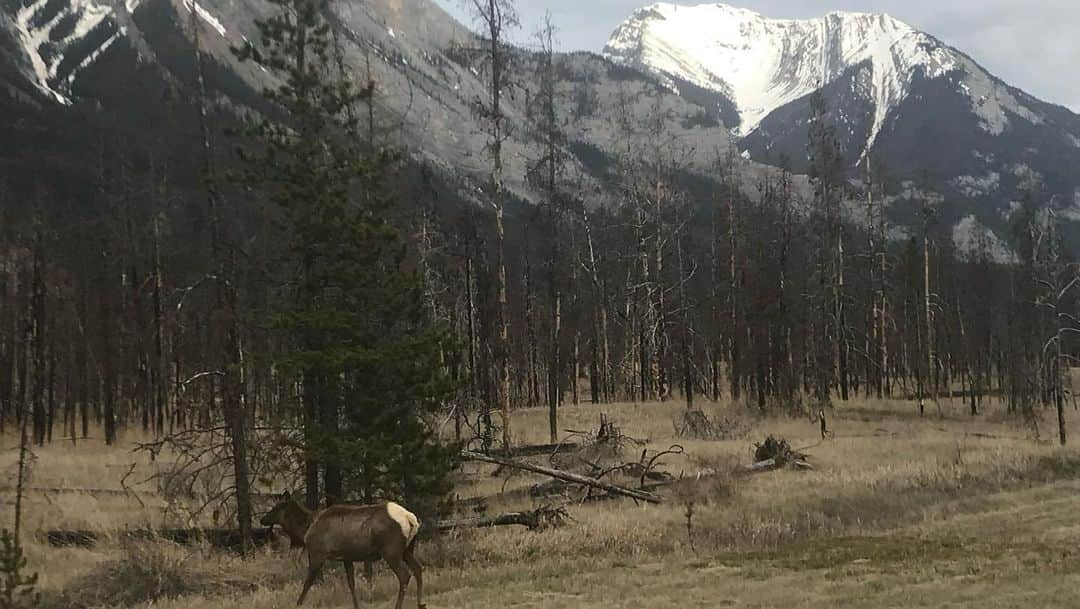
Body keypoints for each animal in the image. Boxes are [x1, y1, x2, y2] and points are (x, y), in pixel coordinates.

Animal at [261, 490, 425, 609]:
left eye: (276, 508)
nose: (262, 519)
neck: (305, 531)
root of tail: (411, 519)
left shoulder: (317, 553)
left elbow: (308, 582)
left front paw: (298, 604)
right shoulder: (347, 557)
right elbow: (351, 584)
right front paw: (357, 606)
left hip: (391, 551)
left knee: (405, 574)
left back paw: (399, 606)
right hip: (407, 550)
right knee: (418, 568)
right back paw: (421, 603)